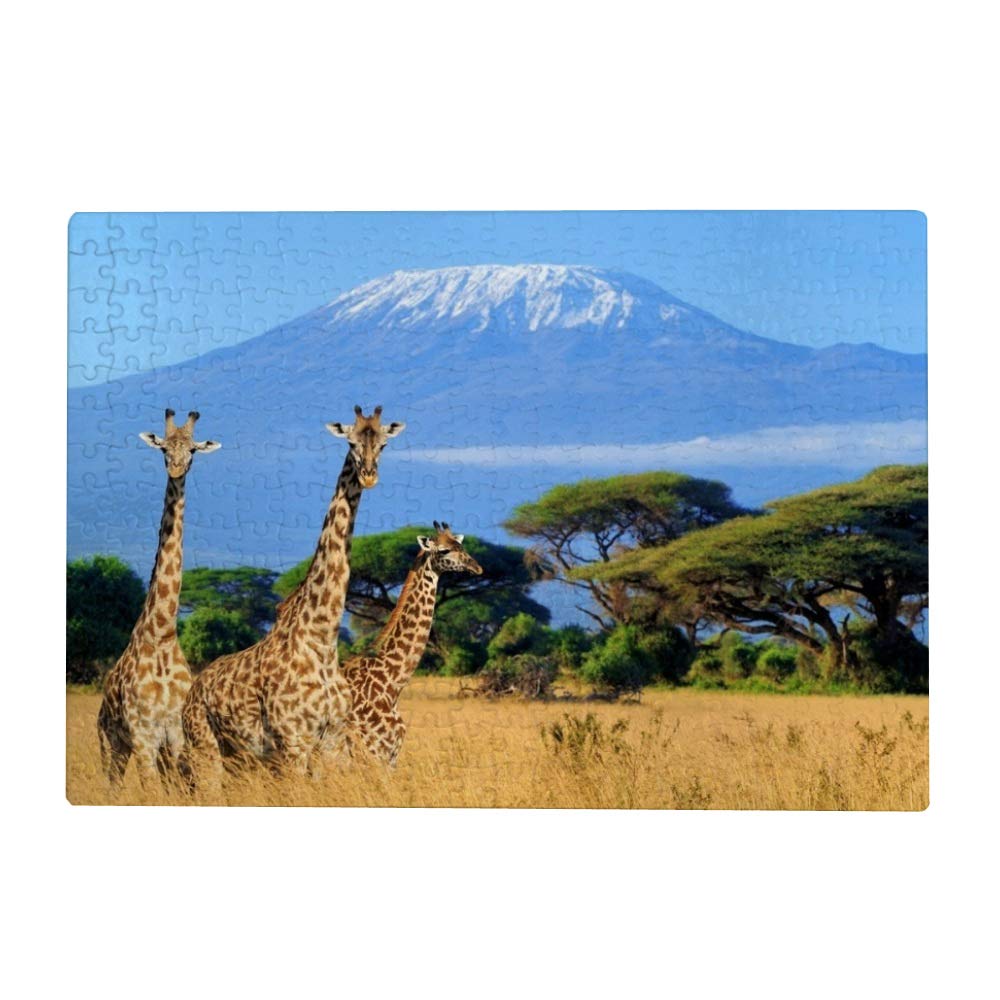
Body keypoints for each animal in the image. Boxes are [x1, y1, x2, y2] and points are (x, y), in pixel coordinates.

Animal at [97, 409, 221, 788]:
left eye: (193, 450)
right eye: (164, 448)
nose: (177, 470)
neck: (163, 633)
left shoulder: (176, 734)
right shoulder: (143, 736)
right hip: (111, 744)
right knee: (112, 787)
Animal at [180, 405, 405, 782]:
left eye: (384, 444)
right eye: (351, 442)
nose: (369, 476)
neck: (322, 639)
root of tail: (193, 690)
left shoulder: (332, 740)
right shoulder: (294, 741)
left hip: (239, 756)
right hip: (205, 747)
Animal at [343, 521, 482, 766]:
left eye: (461, 546)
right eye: (444, 550)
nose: (477, 568)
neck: (391, 685)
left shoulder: (389, 756)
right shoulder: (374, 753)